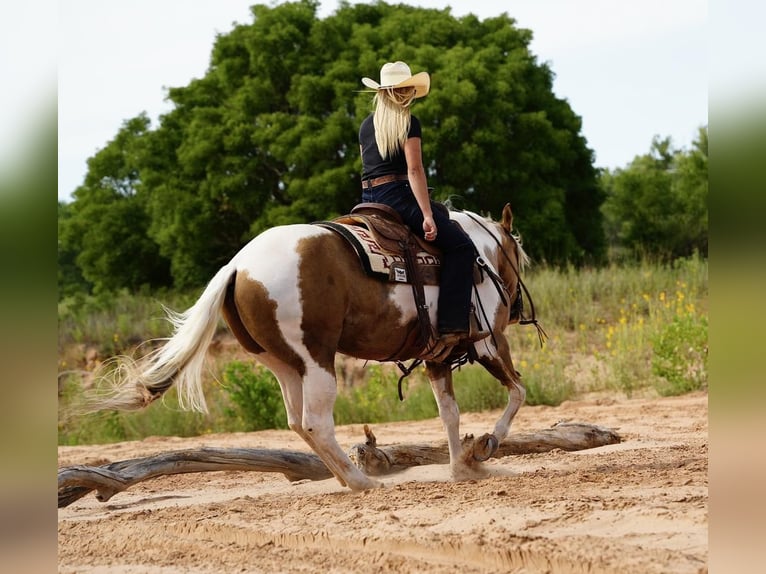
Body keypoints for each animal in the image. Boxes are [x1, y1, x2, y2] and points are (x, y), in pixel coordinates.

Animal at [96, 202, 536, 490]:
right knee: (315, 422)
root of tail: (237, 266)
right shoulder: (490, 342)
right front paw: (486, 447)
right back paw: (362, 482)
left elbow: (450, 414)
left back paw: (346, 478)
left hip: (284, 365)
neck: (476, 256)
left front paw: (463, 468)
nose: (517, 309)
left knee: (296, 421)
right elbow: (518, 391)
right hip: (317, 359)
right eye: (519, 256)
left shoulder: (436, 356)